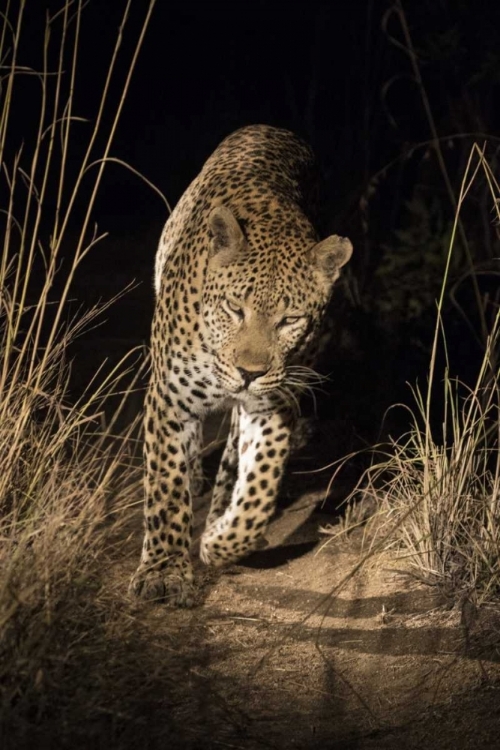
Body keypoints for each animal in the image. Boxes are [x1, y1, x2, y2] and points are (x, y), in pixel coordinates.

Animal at [131, 123, 354, 604]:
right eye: (235, 309)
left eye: (290, 320)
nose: (249, 373)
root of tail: (272, 127)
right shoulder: (168, 399)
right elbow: (166, 487)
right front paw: (164, 571)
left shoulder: (273, 403)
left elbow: (259, 490)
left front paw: (219, 541)